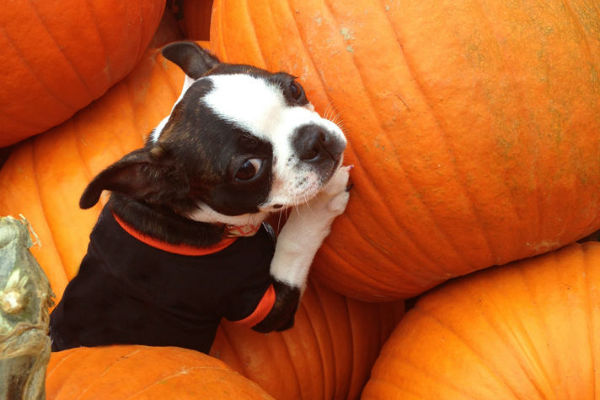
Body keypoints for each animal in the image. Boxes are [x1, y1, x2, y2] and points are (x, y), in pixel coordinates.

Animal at [51, 41, 354, 354]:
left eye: (294, 88)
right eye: (248, 169)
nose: (314, 140)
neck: (181, 215)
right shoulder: (260, 305)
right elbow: (294, 245)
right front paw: (322, 203)